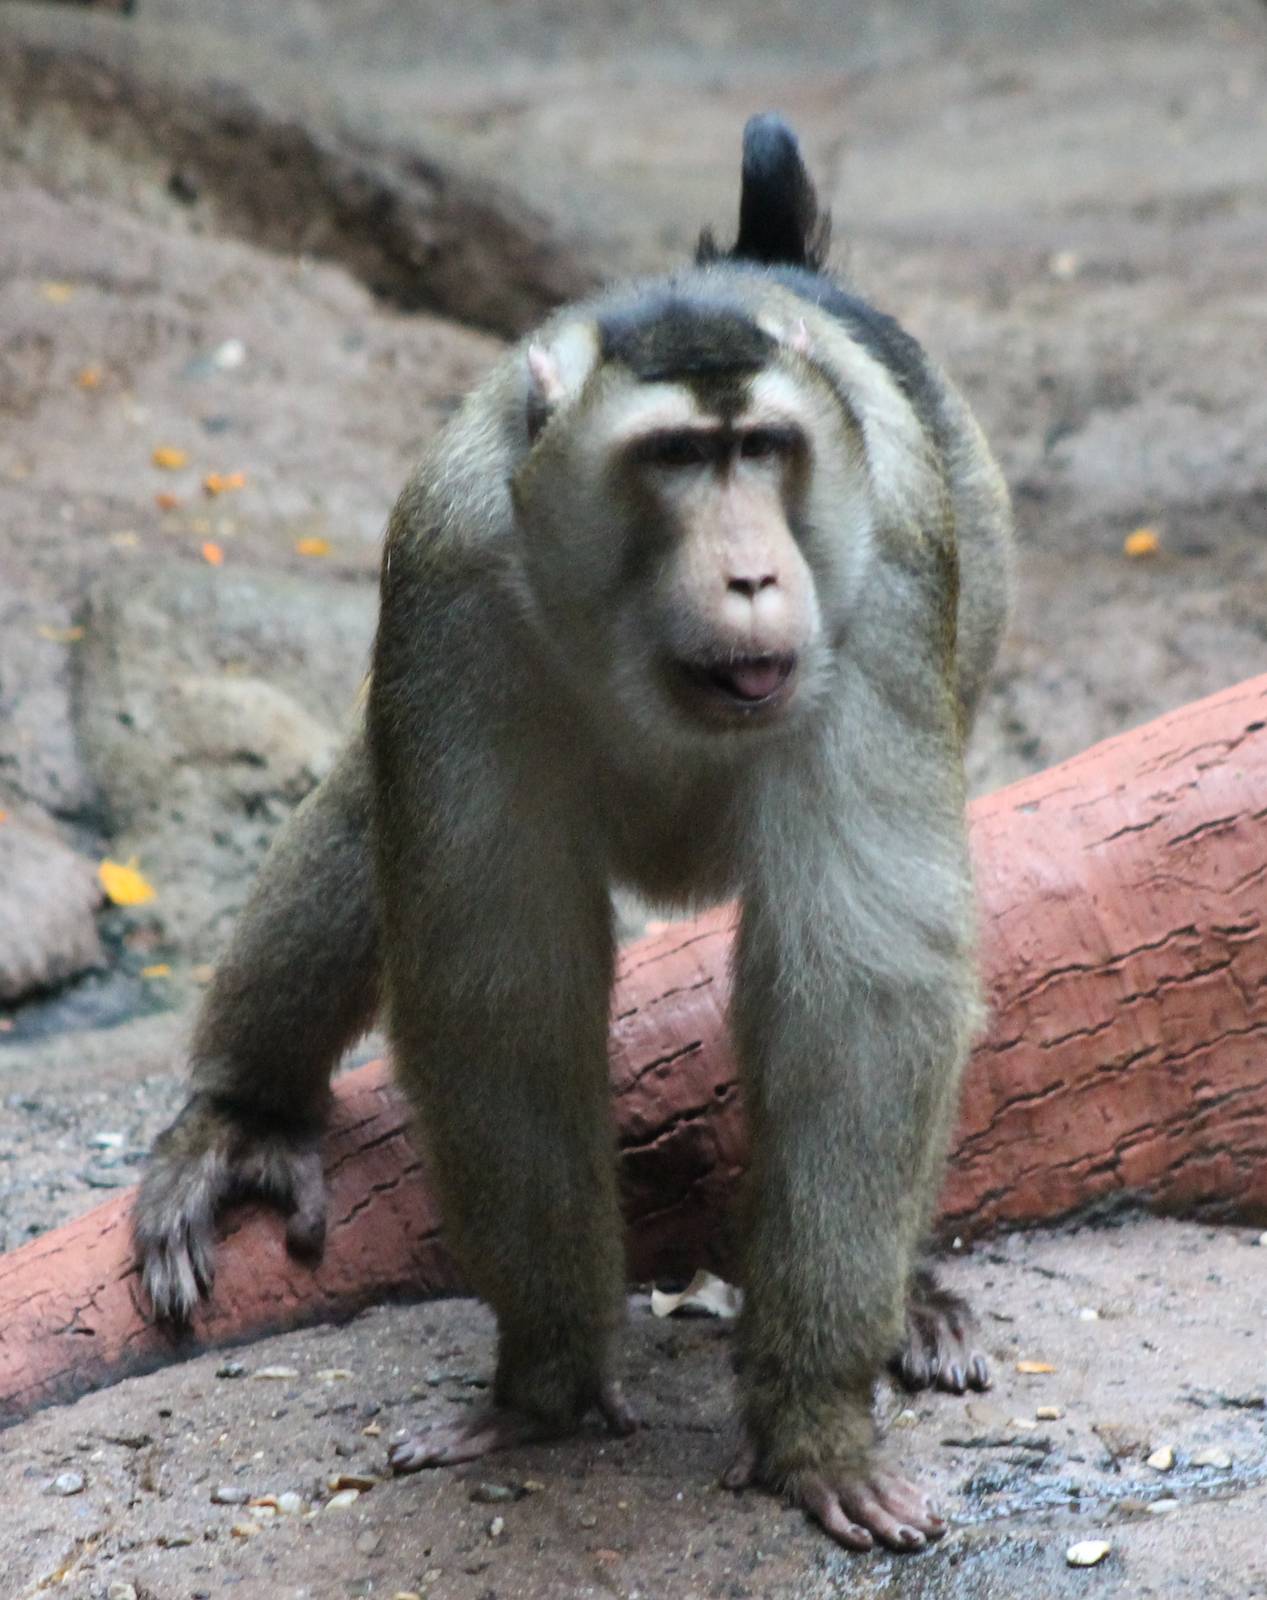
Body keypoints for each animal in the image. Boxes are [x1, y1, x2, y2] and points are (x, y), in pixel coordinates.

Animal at [134, 113, 1012, 1554]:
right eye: (674, 459)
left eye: (761, 448)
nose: (752, 574)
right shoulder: (448, 582)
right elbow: (501, 986)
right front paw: (543, 1377)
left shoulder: (890, 586)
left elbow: (861, 998)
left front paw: (811, 1419)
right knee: (369, 809)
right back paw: (245, 1113)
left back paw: (914, 1291)